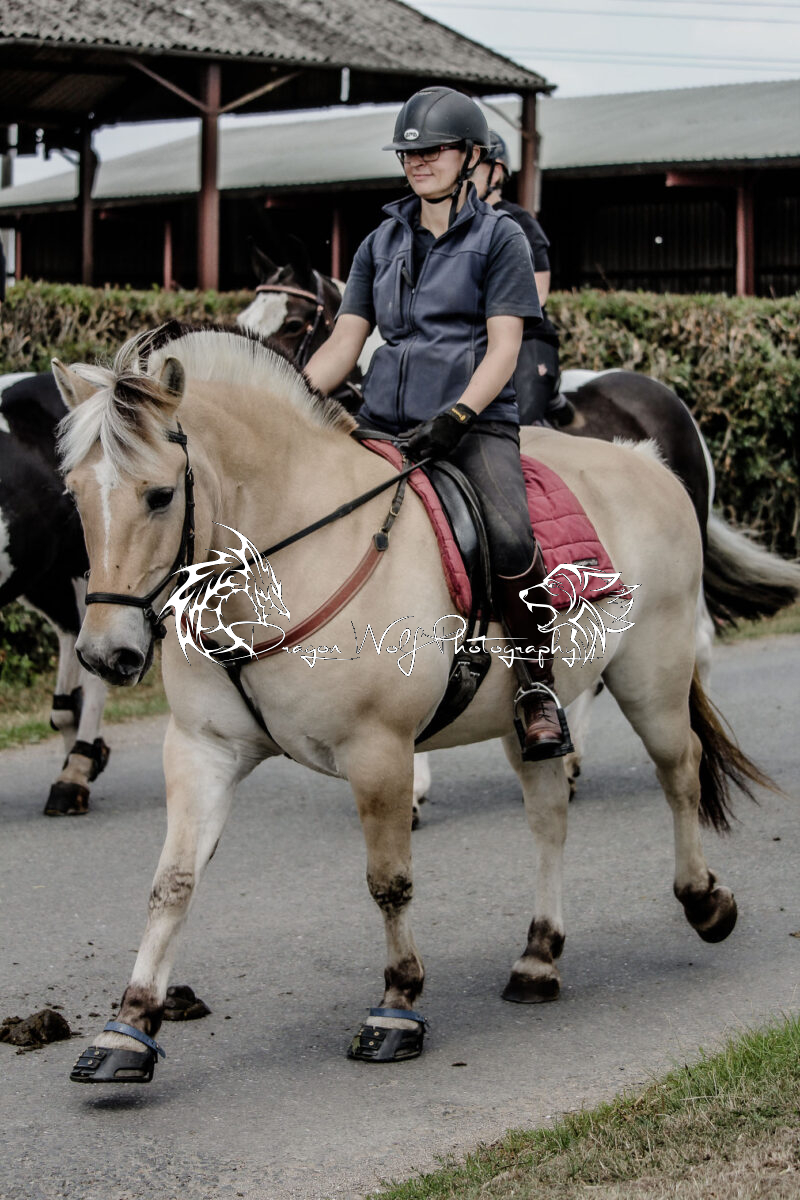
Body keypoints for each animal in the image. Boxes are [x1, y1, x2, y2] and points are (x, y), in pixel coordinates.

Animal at [55, 324, 770, 1084]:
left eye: (161, 495)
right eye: (75, 494)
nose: (105, 653)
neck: (287, 558)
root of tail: (645, 461)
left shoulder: (380, 752)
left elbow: (389, 882)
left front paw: (396, 1006)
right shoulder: (203, 751)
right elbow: (173, 883)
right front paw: (129, 1029)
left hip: (652, 675)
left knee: (679, 771)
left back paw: (705, 901)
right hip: (530, 718)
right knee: (550, 815)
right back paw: (538, 957)